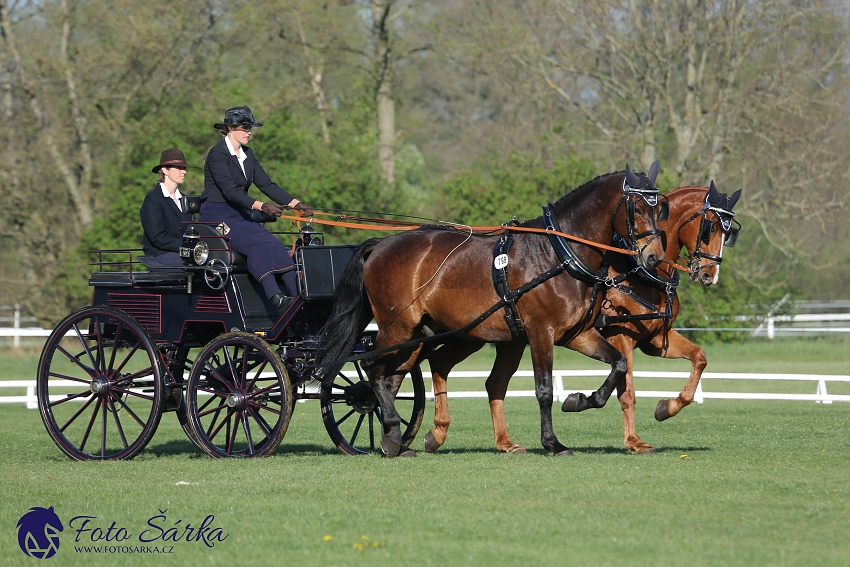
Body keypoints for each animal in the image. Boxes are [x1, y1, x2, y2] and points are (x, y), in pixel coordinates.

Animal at [314, 163, 664, 458]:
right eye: (636, 207)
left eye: (660, 208)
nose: (653, 258)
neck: (559, 254)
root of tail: (382, 244)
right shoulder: (541, 333)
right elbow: (544, 389)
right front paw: (553, 442)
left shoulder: (576, 334)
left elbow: (618, 364)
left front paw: (579, 401)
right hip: (396, 327)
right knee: (373, 368)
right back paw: (392, 430)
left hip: (421, 333)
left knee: (395, 376)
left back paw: (394, 441)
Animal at [422, 183, 736, 458]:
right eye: (709, 227)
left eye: (729, 232)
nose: (709, 275)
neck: (636, 273)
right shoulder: (621, 337)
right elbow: (627, 391)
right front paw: (633, 440)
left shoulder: (656, 339)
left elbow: (699, 358)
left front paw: (666, 408)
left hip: (491, 337)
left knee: (469, 373)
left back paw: (481, 439)